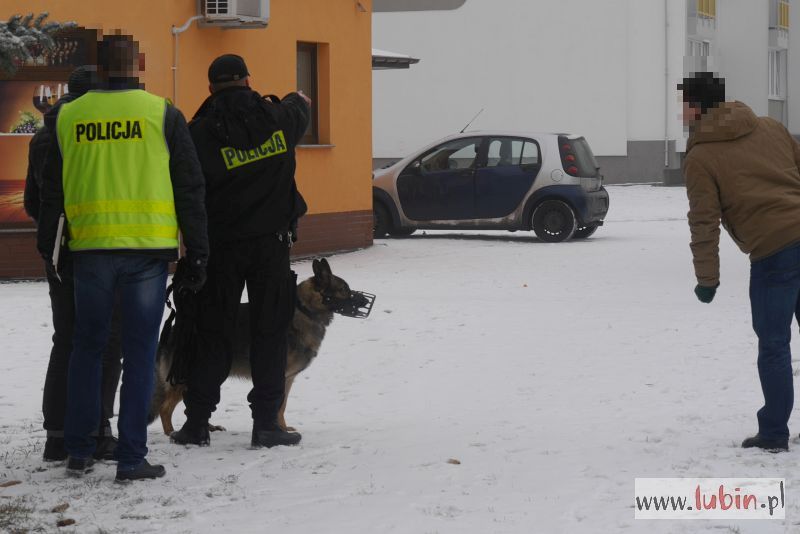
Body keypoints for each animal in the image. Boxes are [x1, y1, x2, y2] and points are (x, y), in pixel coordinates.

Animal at [148, 258, 374, 436]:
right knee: (165, 408)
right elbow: (277, 405)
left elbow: (282, 406)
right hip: (184, 378)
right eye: (344, 290)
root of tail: (172, 331)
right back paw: (172, 433)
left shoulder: (287, 379)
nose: (365, 301)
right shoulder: (279, 376)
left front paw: (282, 427)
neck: (305, 309)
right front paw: (278, 430)